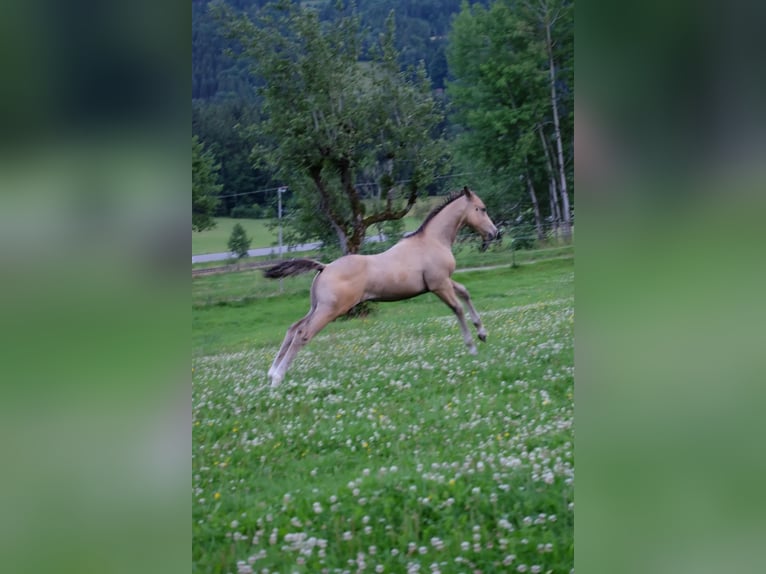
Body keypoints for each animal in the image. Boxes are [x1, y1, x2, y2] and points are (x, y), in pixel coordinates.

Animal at [263, 186, 498, 387]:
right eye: (482, 208)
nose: (494, 233)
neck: (432, 241)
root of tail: (325, 267)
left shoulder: (445, 281)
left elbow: (465, 293)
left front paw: (482, 333)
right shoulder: (439, 285)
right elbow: (457, 308)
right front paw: (472, 347)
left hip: (316, 307)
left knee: (293, 328)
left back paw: (272, 373)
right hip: (330, 310)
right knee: (303, 334)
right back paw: (277, 379)